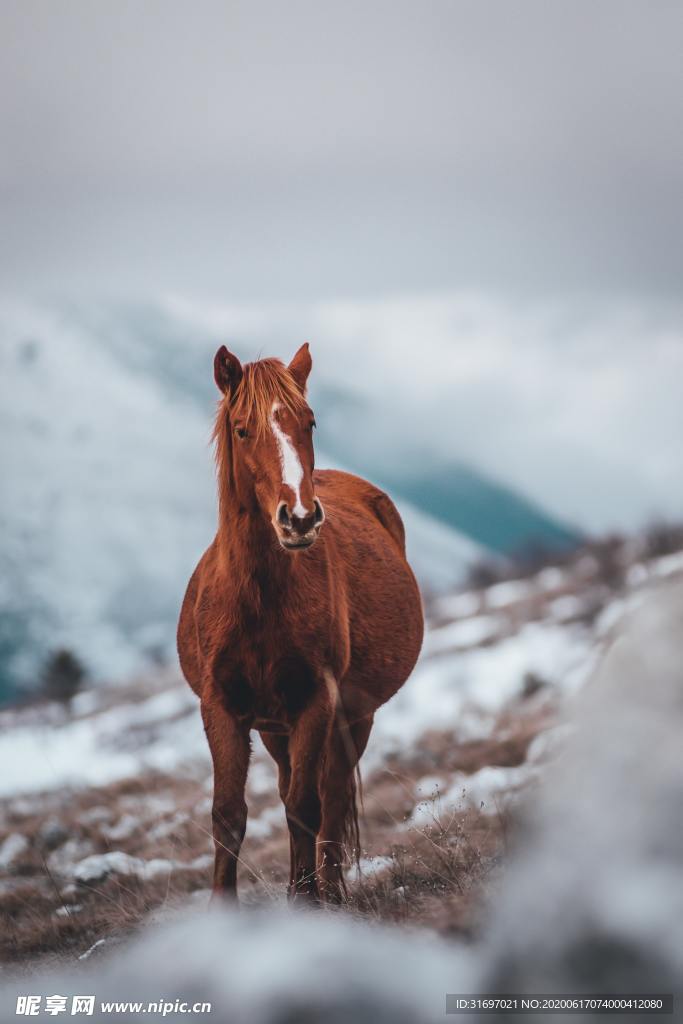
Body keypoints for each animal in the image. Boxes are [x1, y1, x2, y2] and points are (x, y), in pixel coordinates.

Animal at [176, 344, 421, 905]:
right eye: (242, 429)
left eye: (309, 422)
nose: (301, 519)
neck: (258, 600)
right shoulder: (222, 707)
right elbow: (229, 815)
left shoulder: (317, 701)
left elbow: (307, 808)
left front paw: (309, 903)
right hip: (274, 728)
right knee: (293, 786)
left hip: (354, 715)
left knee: (329, 796)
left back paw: (326, 890)